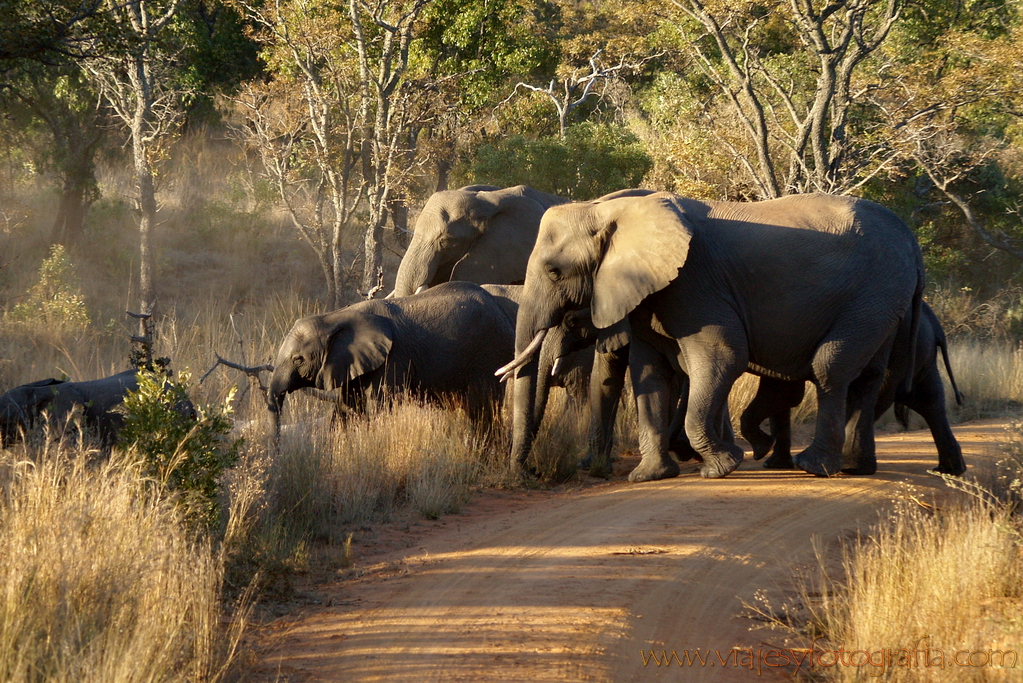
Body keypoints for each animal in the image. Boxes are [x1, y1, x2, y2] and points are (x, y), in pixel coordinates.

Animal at [505, 191, 928, 480]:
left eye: (555, 272)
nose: (529, 474)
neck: (611, 208)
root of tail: (910, 238)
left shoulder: (692, 282)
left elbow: (724, 355)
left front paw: (722, 466)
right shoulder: (650, 294)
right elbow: (650, 371)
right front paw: (650, 477)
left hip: (874, 292)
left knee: (831, 366)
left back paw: (812, 466)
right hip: (882, 303)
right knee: (867, 377)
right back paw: (856, 468)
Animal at [736, 302, 965, 474]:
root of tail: (935, 324)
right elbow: (782, 391)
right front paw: (773, 464)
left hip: (902, 347)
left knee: (888, 390)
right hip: (919, 352)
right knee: (928, 399)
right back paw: (949, 470)